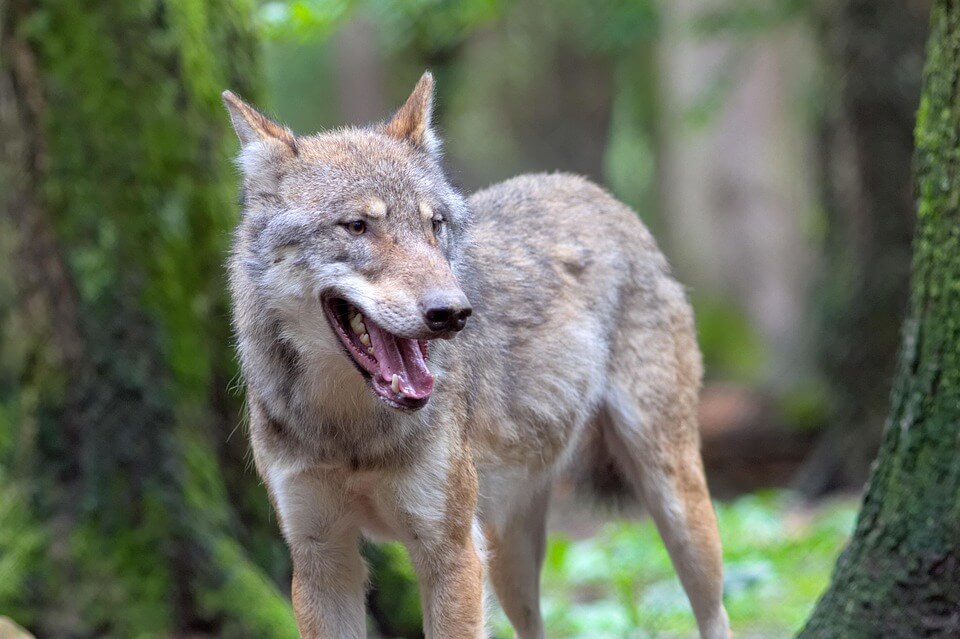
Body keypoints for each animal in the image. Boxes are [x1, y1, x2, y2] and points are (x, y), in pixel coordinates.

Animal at [222, 72, 730, 639]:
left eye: (435, 224)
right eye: (357, 226)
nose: (453, 312)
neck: (350, 432)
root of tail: (592, 190)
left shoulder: (450, 552)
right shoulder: (320, 559)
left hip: (677, 508)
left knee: (717, 614)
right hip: (509, 550)